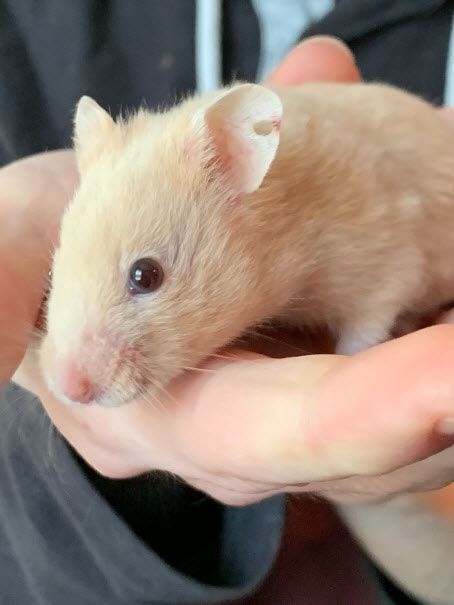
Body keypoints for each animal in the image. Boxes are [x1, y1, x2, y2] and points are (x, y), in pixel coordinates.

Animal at [39, 80, 454, 406]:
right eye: (54, 269)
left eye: (146, 275)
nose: (67, 388)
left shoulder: (385, 268)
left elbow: (366, 327)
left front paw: (353, 356)